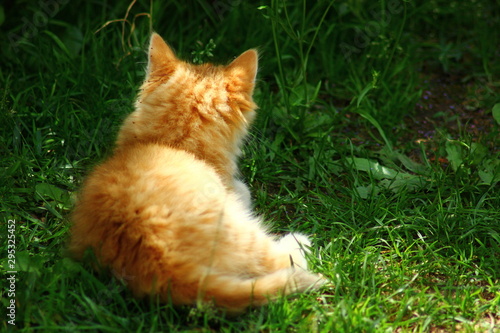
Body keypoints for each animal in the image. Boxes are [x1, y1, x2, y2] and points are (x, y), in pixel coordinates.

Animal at [67, 31, 324, 312]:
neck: (173, 142)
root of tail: (163, 265)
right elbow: (243, 191)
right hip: (237, 226)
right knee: (276, 261)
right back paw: (300, 242)